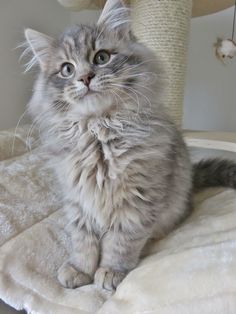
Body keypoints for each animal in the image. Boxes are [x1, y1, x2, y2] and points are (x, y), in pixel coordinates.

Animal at [23, 0, 236, 292]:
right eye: (67, 69)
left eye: (101, 57)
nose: (85, 78)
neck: (98, 134)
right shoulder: (78, 199)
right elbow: (83, 240)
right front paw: (80, 269)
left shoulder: (136, 199)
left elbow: (121, 242)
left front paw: (111, 272)